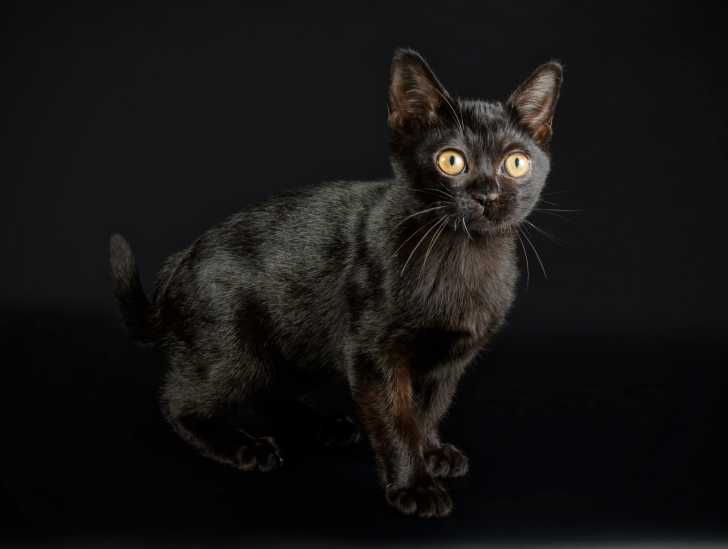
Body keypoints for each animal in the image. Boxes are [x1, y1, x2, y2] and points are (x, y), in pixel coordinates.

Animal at [109, 48, 562, 518]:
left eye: (516, 163)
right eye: (451, 161)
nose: (488, 195)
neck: (461, 258)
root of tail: (179, 261)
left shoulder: (452, 360)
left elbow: (430, 409)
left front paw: (432, 451)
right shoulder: (373, 355)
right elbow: (396, 420)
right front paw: (415, 486)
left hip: (294, 347)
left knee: (268, 392)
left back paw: (324, 427)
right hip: (234, 351)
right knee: (179, 403)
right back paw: (245, 448)